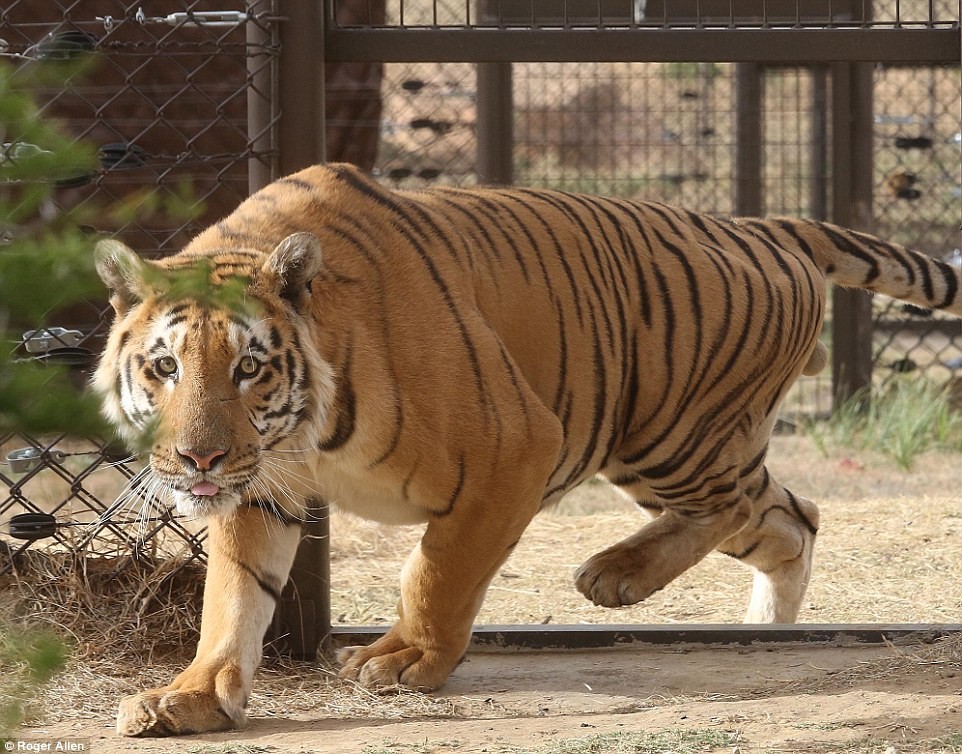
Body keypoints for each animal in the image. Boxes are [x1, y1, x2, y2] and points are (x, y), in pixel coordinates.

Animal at [92, 162, 960, 732]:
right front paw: (193, 695)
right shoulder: (263, 483)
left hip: (670, 437)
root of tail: (762, 224)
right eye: (166, 366)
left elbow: (439, 572)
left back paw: (614, 572)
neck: (302, 427)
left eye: (249, 367)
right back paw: (740, 620)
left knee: (750, 504)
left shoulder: (514, 447)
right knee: (793, 517)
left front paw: (404, 661)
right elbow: (234, 597)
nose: (198, 461)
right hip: (674, 448)